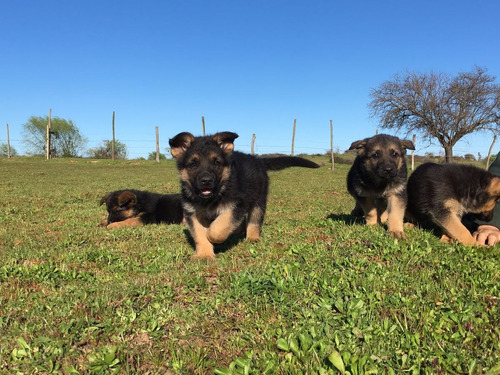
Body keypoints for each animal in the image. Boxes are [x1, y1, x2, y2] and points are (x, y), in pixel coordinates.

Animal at [169, 131, 320, 260]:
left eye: (217, 162)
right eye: (192, 164)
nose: (206, 181)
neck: (211, 198)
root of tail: (258, 160)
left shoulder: (238, 204)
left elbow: (217, 229)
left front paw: (211, 236)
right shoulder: (192, 212)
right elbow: (200, 235)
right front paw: (204, 255)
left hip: (259, 200)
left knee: (254, 221)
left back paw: (252, 238)